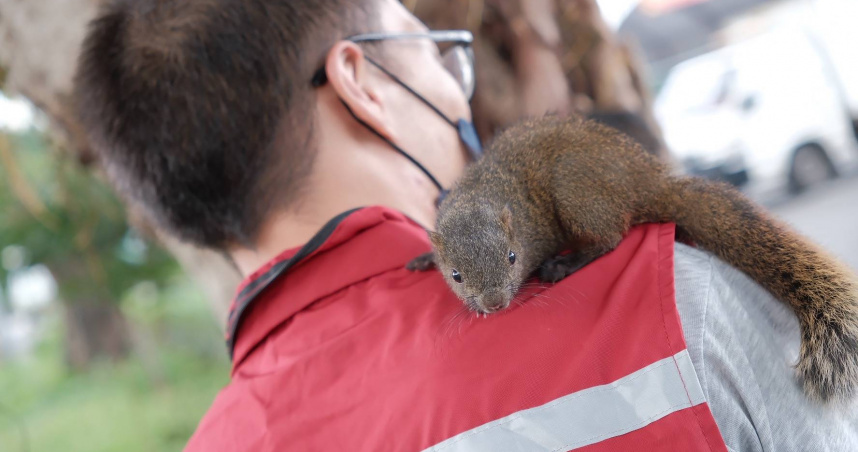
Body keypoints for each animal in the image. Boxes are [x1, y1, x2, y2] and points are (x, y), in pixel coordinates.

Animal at [406, 115, 856, 404]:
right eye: (456, 275)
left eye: (513, 257)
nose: (495, 304)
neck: (485, 192)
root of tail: (647, 183)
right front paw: (425, 257)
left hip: (577, 192)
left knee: (610, 236)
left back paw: (567, 263)